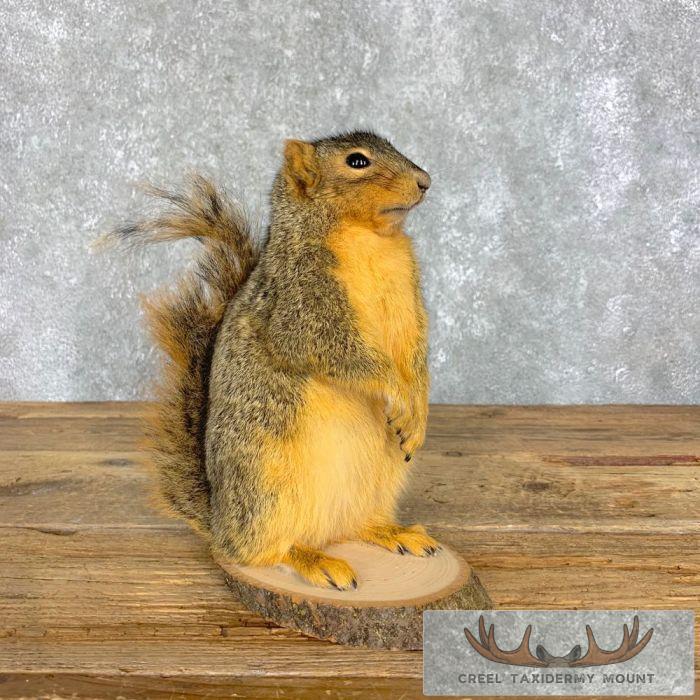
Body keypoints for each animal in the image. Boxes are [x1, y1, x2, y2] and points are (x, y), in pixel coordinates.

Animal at [109, 131, 439, 590]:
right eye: (357, 161)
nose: (425, 181)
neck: (370, 237)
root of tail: (220, 525)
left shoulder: (409, 298)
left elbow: (415, 354)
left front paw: (417, 411)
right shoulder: (298, 305)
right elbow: (337, 352)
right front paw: (395, 392)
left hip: (379, 481)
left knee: (353, 526)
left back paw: (393, 532)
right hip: (266, 485)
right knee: (263, 551)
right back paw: (313, 560)